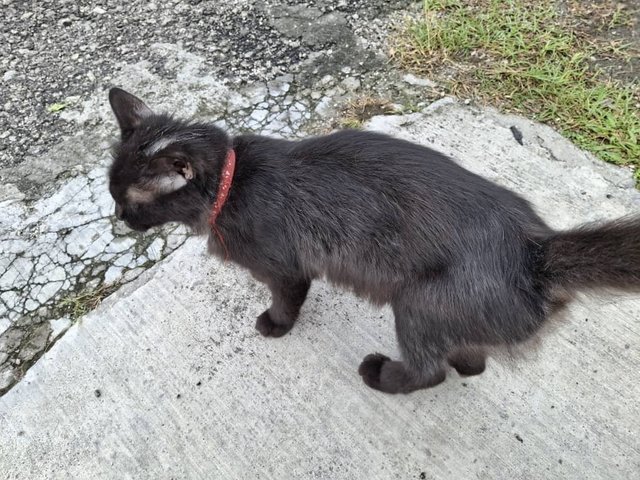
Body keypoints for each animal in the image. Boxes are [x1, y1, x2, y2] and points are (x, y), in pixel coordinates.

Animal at [107, 87, 636, 394]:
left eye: (129, 202)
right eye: (112, 196)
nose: (118, 218)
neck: (232, 183)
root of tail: (534, 251)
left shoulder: (287, 270)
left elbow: (286, 300)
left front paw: (275, 324)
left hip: (418, 303)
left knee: (431, 371)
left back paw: (382, 375)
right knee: (471, 362)